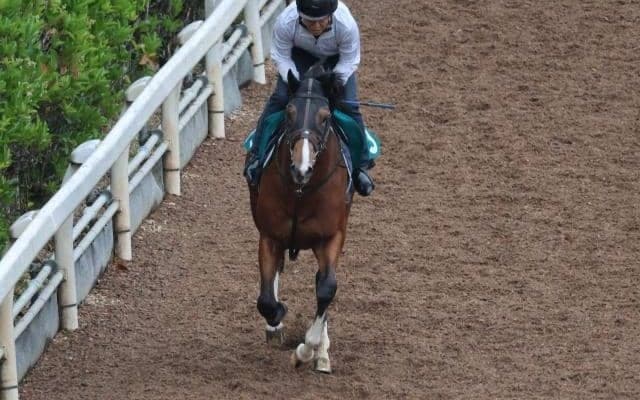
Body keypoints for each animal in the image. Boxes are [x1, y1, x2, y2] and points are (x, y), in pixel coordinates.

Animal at [247, 65, 353, 373]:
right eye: (289, 112)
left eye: (325, 116)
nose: (301, 168)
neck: (301, 191)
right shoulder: (270, 236)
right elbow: (266, 300)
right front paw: (278, 319)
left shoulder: (331, 237)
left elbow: (327, 288)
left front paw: (308, 351)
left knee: (322, 282)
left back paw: (322, 354)